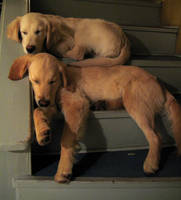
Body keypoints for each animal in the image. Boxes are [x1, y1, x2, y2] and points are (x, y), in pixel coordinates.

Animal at [9, 52, 181, 183]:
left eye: (52, 81)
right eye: (35, 80)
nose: (43, 101)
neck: (62, 84)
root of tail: (161, 85)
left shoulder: (75, 104)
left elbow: (66, 139)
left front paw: (63, 170)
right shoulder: (53, 106)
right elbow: (37, 111)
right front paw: (42, 132)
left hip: (134, 100)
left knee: (155, 137)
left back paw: (151, 164)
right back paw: (101, 104)